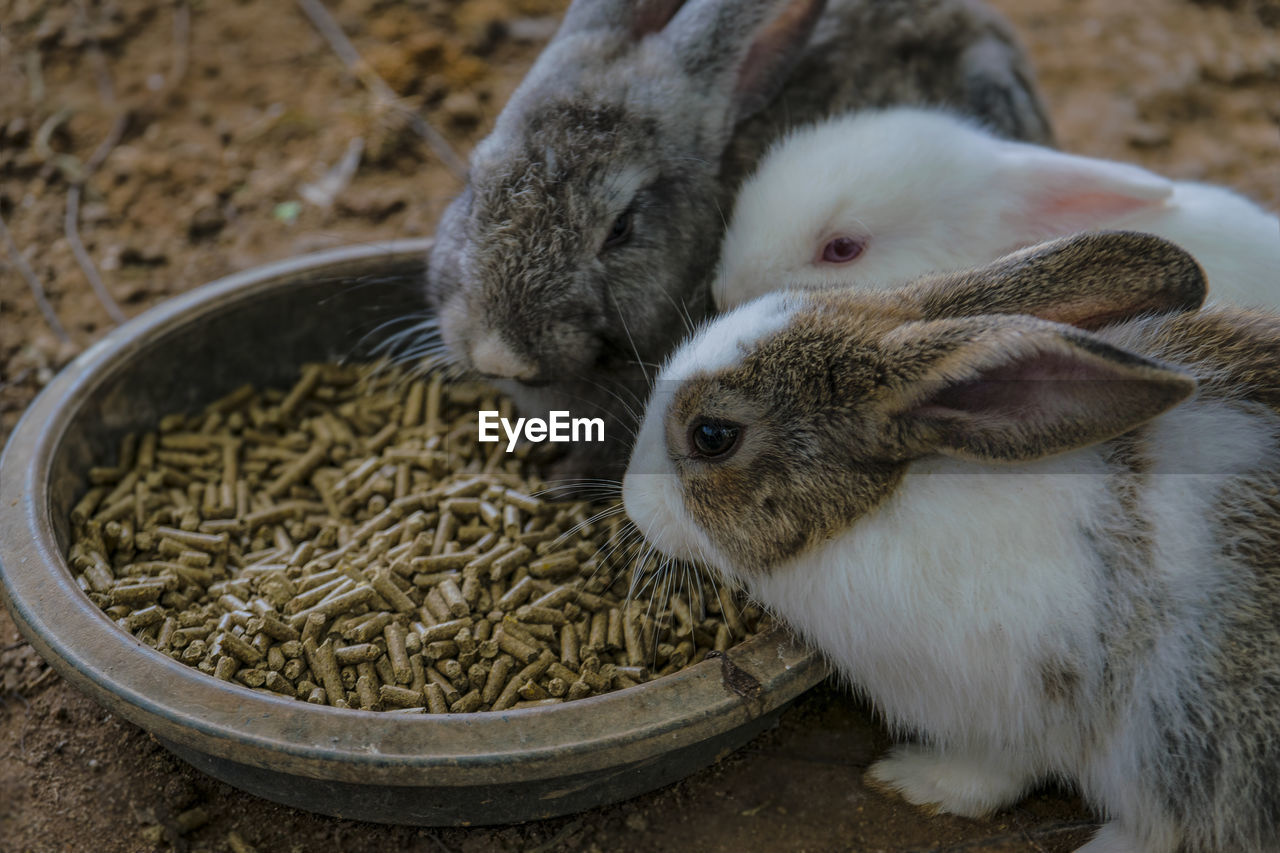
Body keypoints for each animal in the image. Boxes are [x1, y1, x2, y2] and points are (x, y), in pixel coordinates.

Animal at [624, 227, 1280, 850]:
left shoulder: (1019, 704)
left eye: (712, 435)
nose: (632, 503)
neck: (887, 503)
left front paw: (914, 780)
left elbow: (996, 771)